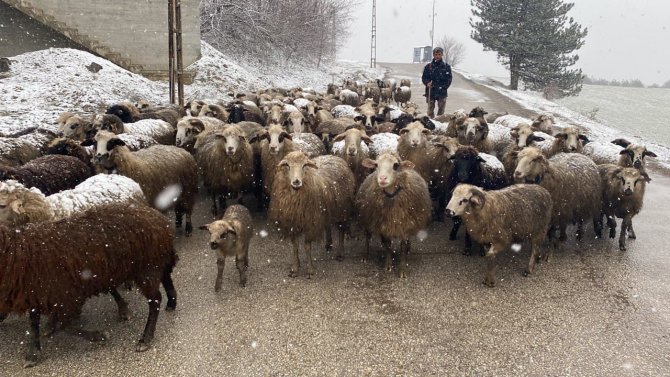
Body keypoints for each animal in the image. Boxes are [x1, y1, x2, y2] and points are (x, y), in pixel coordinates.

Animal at [0, 204, 178, 366]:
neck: (16, 252)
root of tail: (160, 219)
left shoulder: (67, 294)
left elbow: (65, 325)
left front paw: (100, 336)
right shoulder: (37, 292)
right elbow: (34, 322)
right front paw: (33, 353)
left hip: (147, 266)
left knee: (155, 300)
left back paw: (145, 338)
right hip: (156, 260)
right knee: (166, 278)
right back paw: (171, 303)